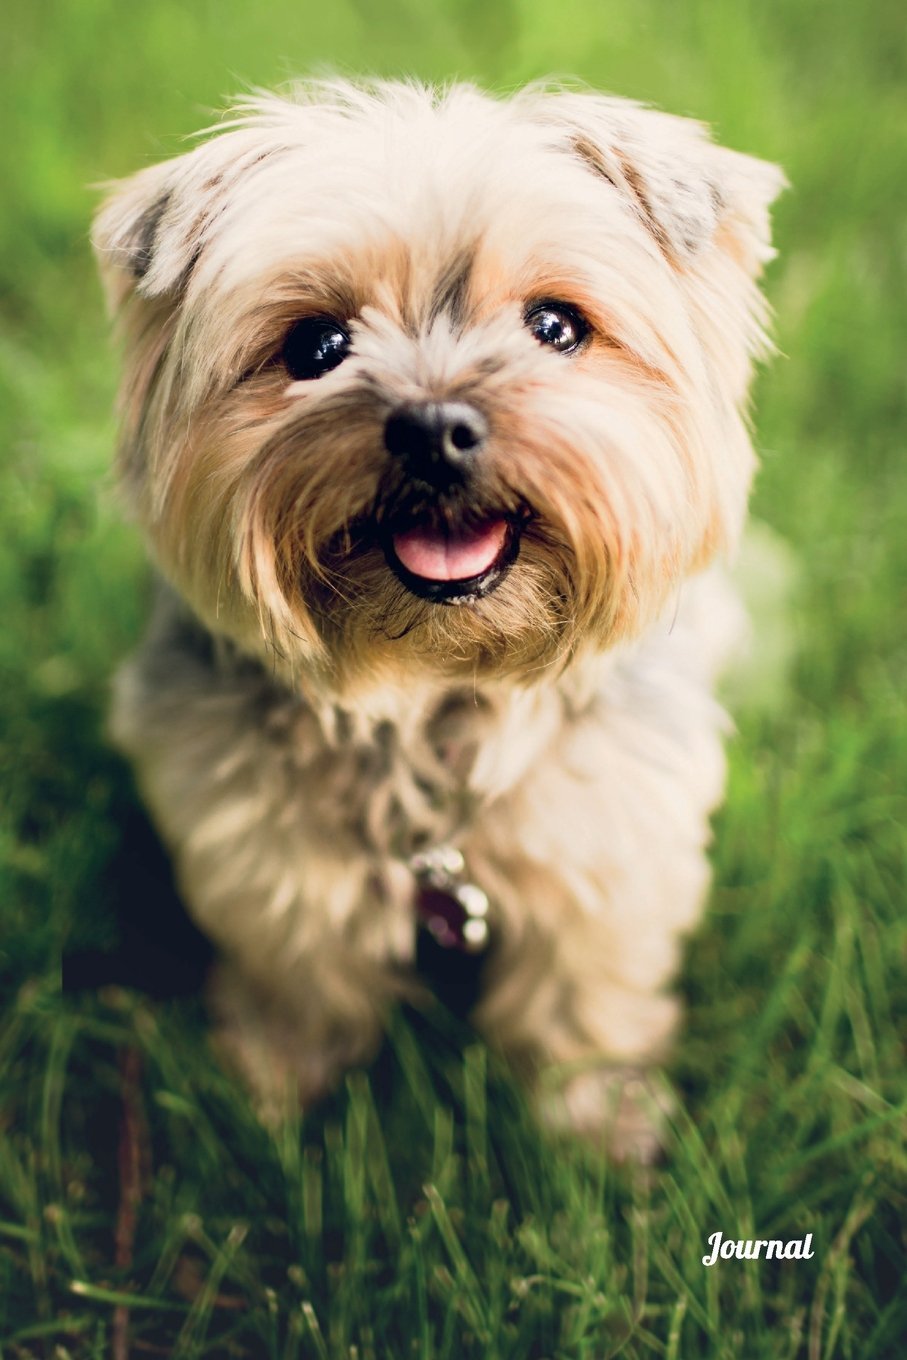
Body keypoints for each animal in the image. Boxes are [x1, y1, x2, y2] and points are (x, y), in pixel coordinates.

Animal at [95, 77, 783, 1158]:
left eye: (555, 327)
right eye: (317, 346)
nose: (431, 426)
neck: (431, 689)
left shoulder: (607, 835)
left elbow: (584, 992)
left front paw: (599, 1131)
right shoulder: (264, 851)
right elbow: (301, 980)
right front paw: (265, 1103)